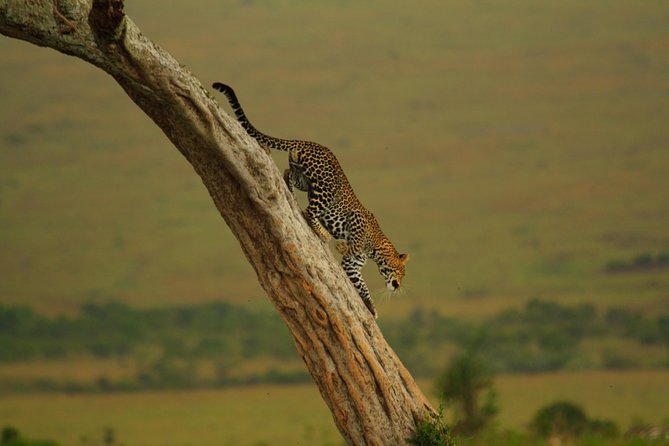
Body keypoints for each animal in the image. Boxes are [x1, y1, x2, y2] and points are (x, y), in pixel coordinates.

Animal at [214, 81, 408, 318]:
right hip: (325, 190)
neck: (377, 248)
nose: (398, 286)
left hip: (304, 179)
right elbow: (351, 246)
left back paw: (289, 191)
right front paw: (341, 245)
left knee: (288, 173)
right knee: (309, 211)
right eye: (400, 271)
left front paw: (371, 308)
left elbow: (362, 286)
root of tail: (309, 143)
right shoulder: (356, 222)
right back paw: (323, 232)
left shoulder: (353, 266)